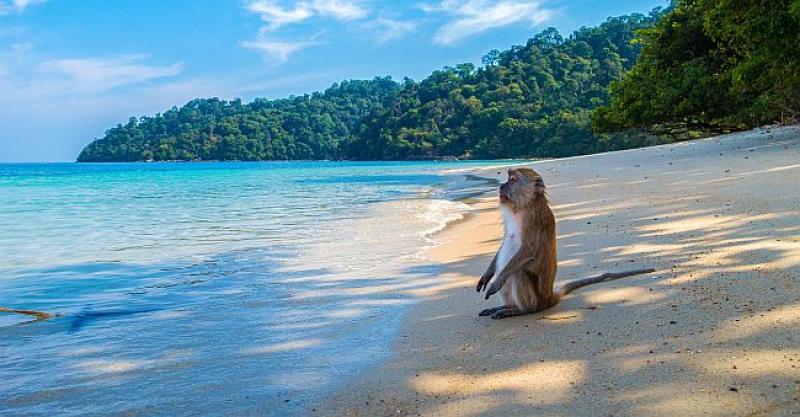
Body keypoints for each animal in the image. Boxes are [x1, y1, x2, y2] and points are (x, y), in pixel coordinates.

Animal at [476, 167, 656, 316]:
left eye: (512, 179)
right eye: (508, 178)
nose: (501, 186)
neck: (522, 205)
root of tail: (548, 298)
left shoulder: (533, 219)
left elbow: (529, 250)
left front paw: (497, 281)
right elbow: (505, 241)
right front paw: (487, 275)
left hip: (536, 300)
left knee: (517, 272)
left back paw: (521, 310)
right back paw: (508, 306)